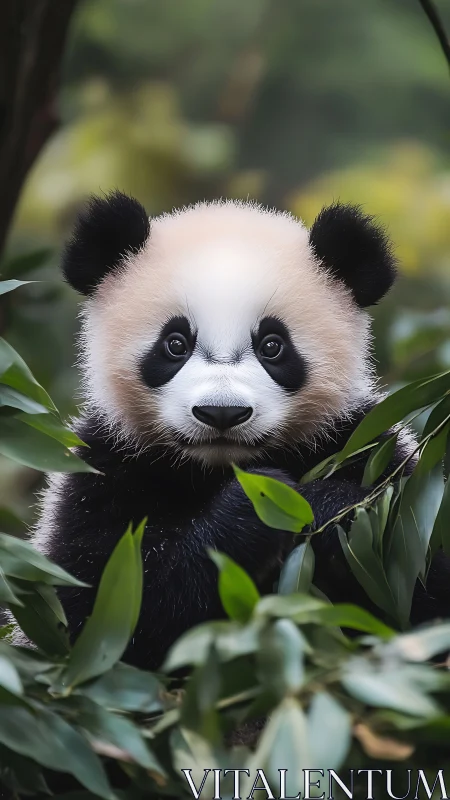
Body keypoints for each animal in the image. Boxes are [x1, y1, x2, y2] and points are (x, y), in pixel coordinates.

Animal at [21, 192, 450, 669]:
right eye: (175, 343)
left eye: (272, 346)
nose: (221, 413)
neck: (218, 468)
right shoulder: (104, 469)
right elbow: (99, 610)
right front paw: (255, 506)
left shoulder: (369, 447)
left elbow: (422, 585)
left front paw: (327, 508)